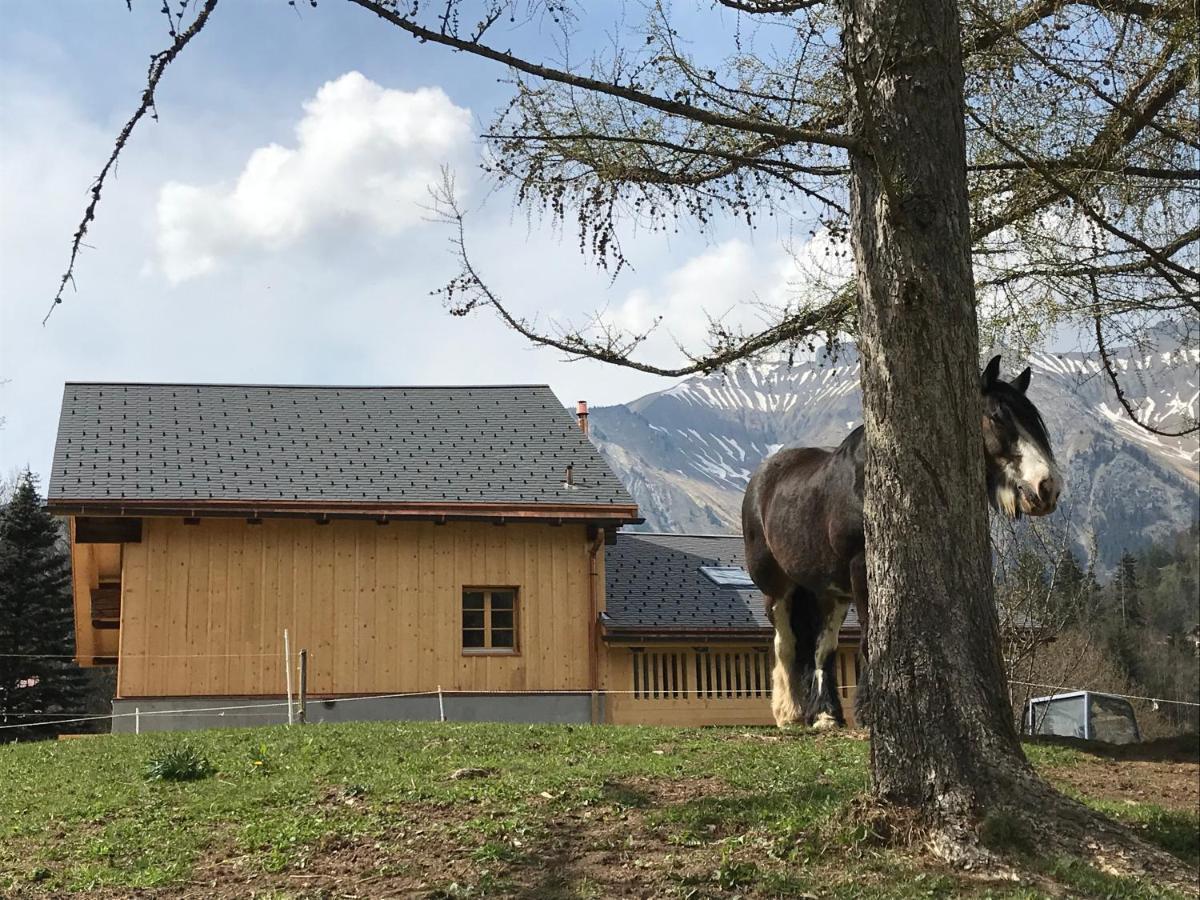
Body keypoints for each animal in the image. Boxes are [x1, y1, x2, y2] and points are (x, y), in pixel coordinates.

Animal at [744, 355, 1065, 729]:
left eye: (1033, 420)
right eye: (998, 416)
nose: (1047, 487)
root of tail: (762, 477)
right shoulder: (860, 568)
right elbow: (869, 639)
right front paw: (871, 713)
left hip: (829, 592)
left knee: (822, 646)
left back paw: (825, 715)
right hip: (778, 587)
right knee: (786, 642)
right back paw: (789, 712)